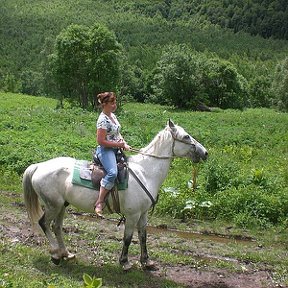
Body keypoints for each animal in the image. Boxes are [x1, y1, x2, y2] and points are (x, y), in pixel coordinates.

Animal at [22, 118, 207, 270]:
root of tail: (38, 166)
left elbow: (143, 236)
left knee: (57, 227)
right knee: (44, 223)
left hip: (62, 205)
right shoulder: (132, 214)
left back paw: (66, 254)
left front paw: (146, 262)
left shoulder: (143, 214)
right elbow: (128, 238)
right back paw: (55, 255)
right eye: (186, 137)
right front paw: (125, 262)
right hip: (53, 205)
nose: (205, 152)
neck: (146, 172)